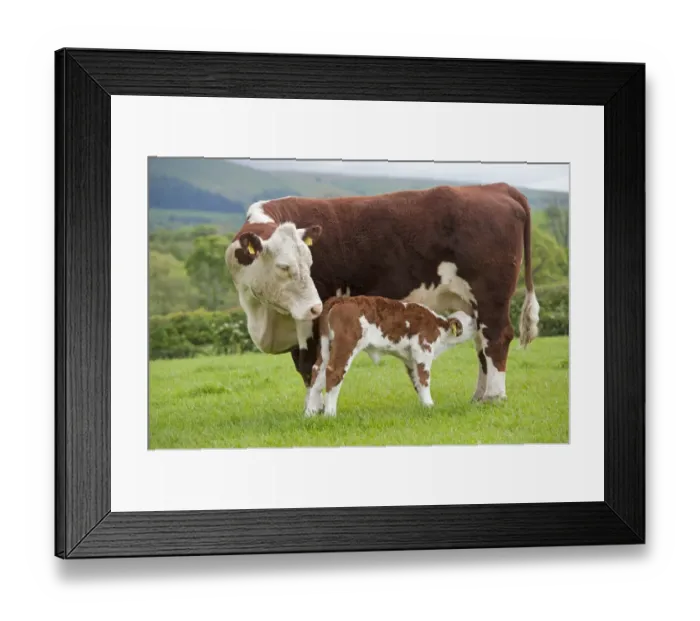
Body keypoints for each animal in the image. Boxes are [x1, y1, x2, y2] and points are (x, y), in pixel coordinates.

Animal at [306, 295, 476, 417]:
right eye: (471, 322)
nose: (479, 324)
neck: (438, 327)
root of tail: (341, 299)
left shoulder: (410, 359)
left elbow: (416, 381)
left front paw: (425, 406)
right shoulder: (423, 349)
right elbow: (424, 379)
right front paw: (430, 405)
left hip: (326, 346)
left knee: (317, 372)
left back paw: (310, 414)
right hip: (346, 344)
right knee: (334, 372)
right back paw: (330, 414)